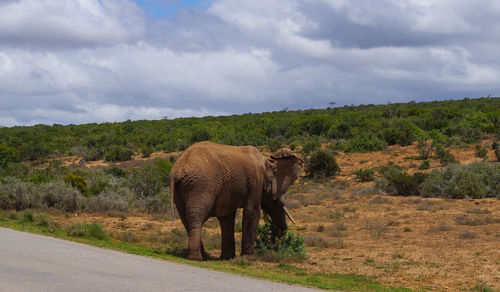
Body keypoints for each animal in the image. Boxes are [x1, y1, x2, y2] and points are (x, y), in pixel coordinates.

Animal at [169, 141, 304, 260]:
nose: (275, 243)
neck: (267, 160)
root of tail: (176, 171)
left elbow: (227, 217)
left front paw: (228, 258)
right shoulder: (255, 181)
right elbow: (252, 212)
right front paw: (249, 258)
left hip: (183, 189)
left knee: (186, 219)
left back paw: (203, 257)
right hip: (201, 185)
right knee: (196, 217)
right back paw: (197, 258)